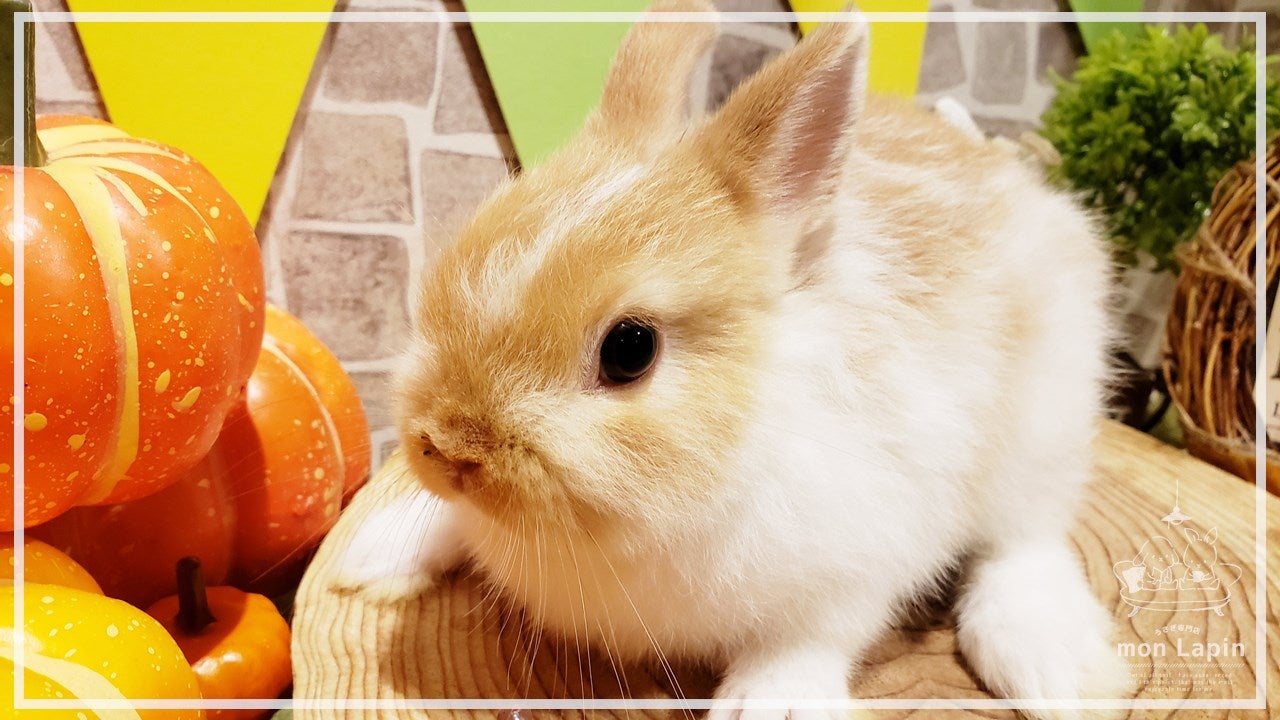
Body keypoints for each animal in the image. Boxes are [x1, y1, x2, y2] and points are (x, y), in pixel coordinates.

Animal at [337, 1, 1134, 717]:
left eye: (630, 349)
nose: (446, 448)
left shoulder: (854, 564)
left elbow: (806, 640)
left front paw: (773, 705)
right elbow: (455, 524)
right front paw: (375, 556)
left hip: (1045, 423)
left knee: (1024, 541)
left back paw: (1060, 670)